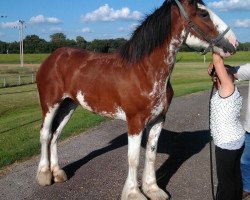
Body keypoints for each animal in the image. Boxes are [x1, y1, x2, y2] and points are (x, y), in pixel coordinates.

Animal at [35, 0, 238, 199]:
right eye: (203, 14)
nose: (234, 43)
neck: (144, 71)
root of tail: (53, 57)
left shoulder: (158, 119)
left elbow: (150, 155)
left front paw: (152, 189)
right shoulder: (135, 121)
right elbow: (133, 158)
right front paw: (133, 192)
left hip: (68, 105)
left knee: (55, 135)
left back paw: (58, 173)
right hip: (50, 105)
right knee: (45, 134)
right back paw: (44, 175)